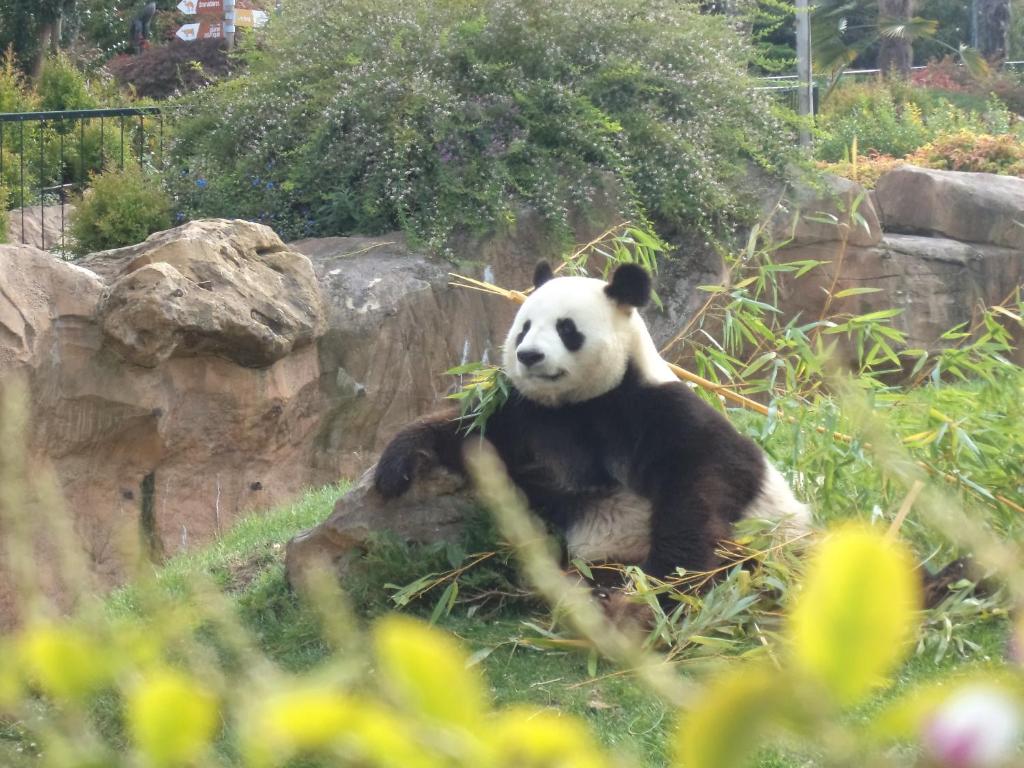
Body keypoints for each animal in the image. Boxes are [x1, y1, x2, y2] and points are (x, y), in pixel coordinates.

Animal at [372, 262, 811, 581]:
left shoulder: (653, 409)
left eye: (567, 329)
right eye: (524, 328)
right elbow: (470, 432)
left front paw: (666, 577)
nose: (529, 355)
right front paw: (395, 467)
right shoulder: (528, 415)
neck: (578, 403)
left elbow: (707, 474)